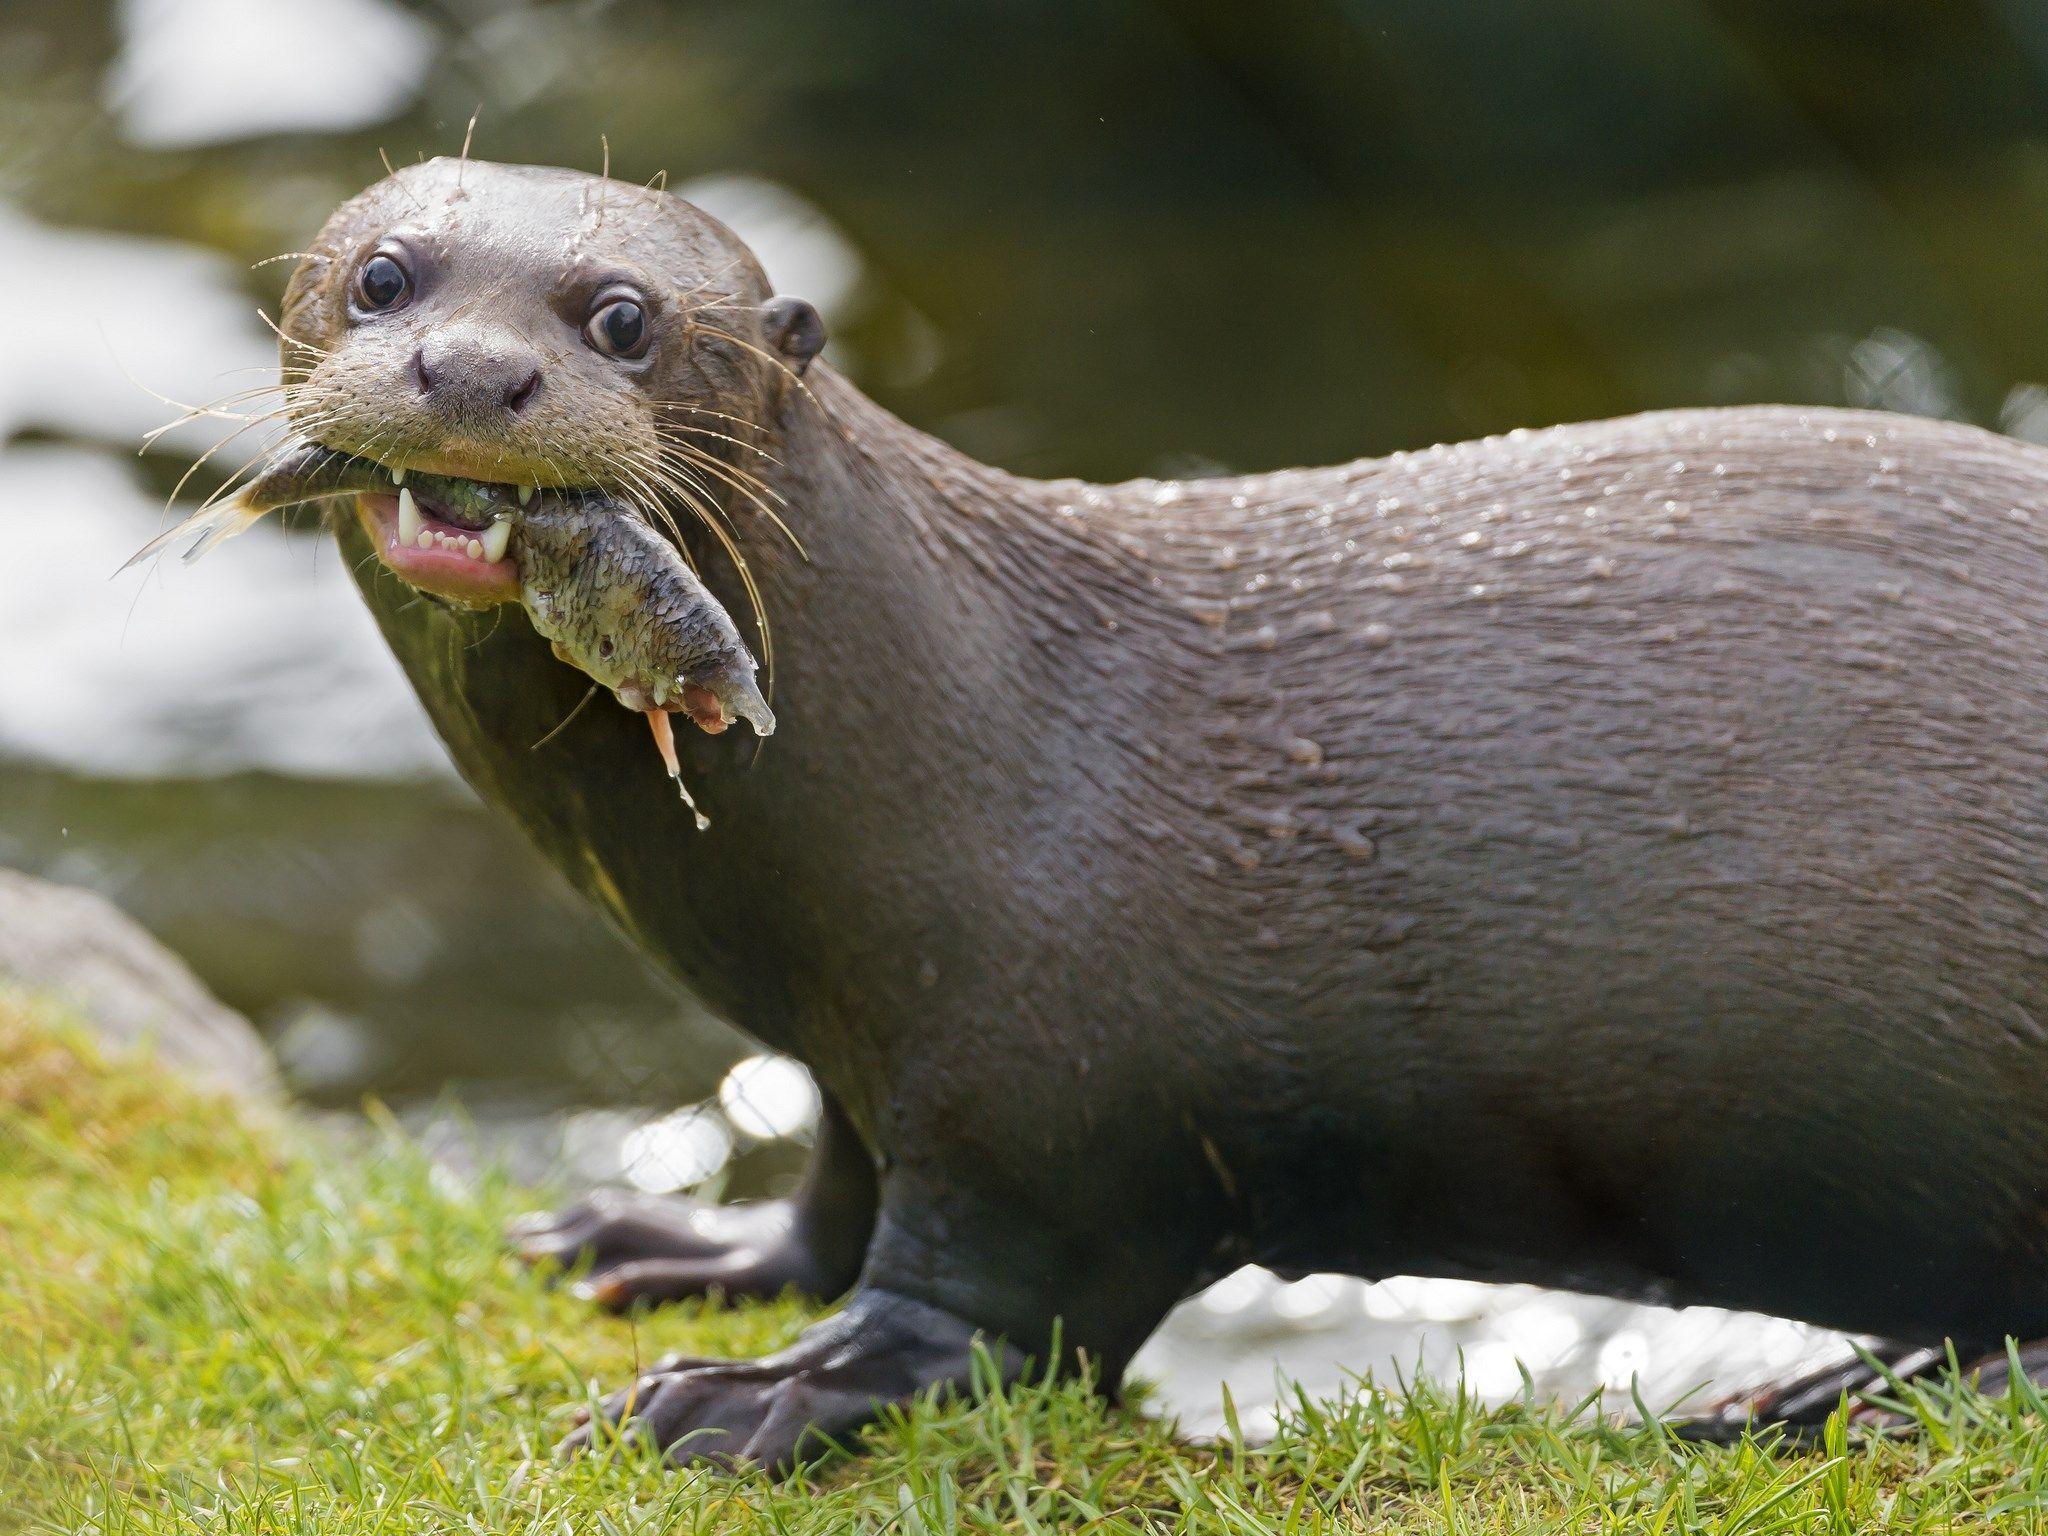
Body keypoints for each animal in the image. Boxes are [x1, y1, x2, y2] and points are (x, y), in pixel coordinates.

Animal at [264, 162, 2048, 1474]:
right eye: (385, 276)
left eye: (622, 320)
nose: (473, 371)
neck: (965, 734)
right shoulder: (862, 1043)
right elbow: (836, 1192)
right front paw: (682, 1244)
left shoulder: (1038, 1090)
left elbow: (977, 1312)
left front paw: (755, 1393)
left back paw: (1837, 1392)